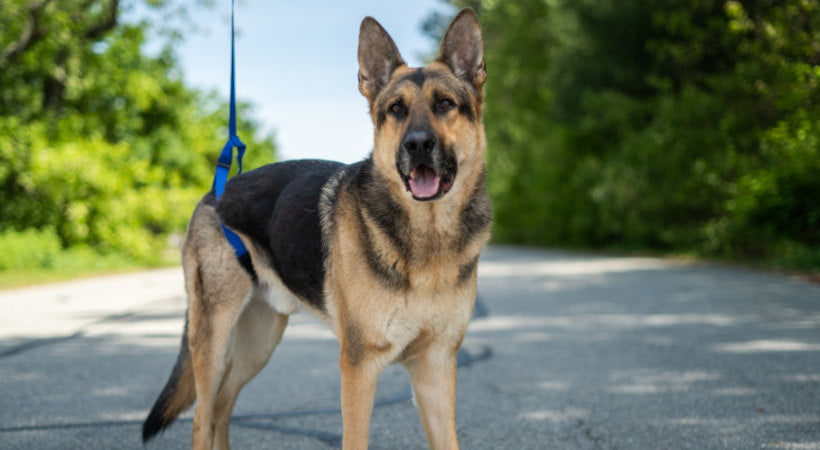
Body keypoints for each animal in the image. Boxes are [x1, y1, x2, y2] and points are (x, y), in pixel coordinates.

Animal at [142, 7, 490, 450]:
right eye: (396, 109)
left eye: (444, 104)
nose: (416, 145)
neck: (427, 236)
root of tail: (215, 193)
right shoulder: (359, 367)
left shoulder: (436, 369)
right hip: (214, 337)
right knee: (202, 418)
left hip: (261, 339)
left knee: (221, 406)